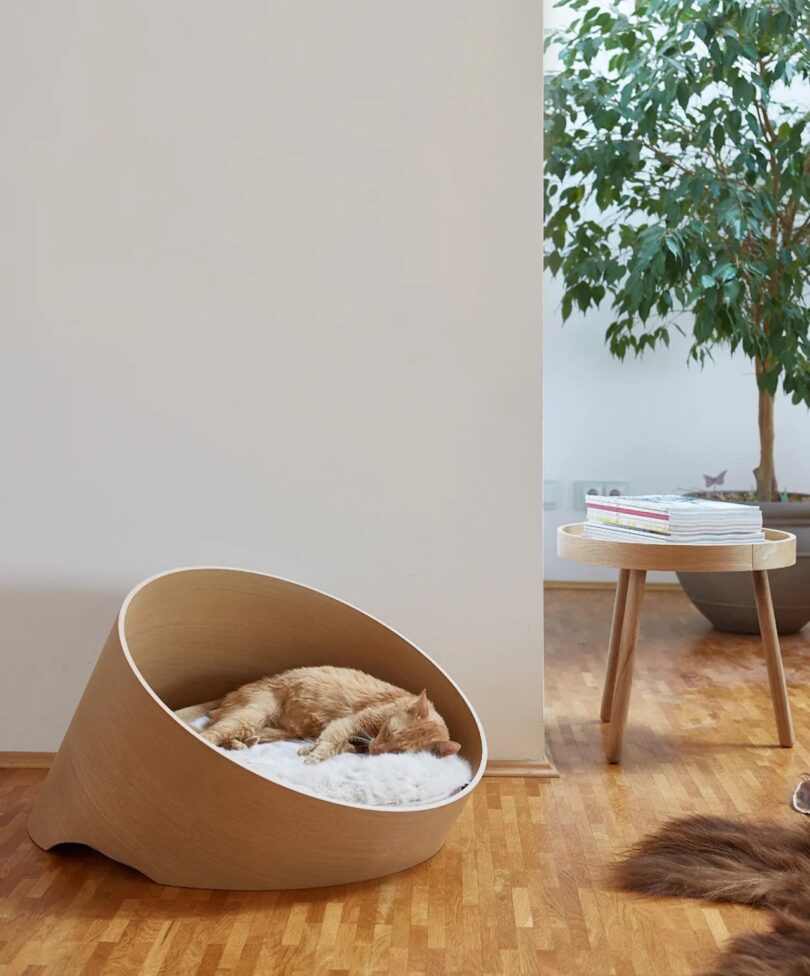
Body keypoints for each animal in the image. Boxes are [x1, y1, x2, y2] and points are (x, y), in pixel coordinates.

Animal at [198, 668, 458, 768]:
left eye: (395, 753)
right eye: (387, 732)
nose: (375, 750)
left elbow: (334, 744)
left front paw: (309, 750)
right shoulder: (350, 722)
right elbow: (330, 743)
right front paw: (313, 756)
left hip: (273, 731)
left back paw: (240, 745)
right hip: (251, 715)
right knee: (211, 732)